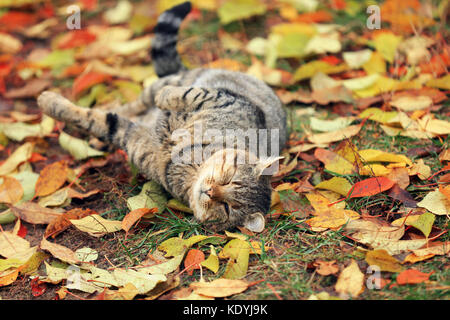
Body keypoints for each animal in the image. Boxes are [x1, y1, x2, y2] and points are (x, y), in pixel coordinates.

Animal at [37, 1, 286, 232]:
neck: (193, 164)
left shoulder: (134, 140)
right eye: (230, 178)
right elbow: (188, 94)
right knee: (142, 100)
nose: (210, 191)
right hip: (172, 83)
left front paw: (50, 103)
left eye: (227, 208)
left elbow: (98, 120)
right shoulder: (226, 99)